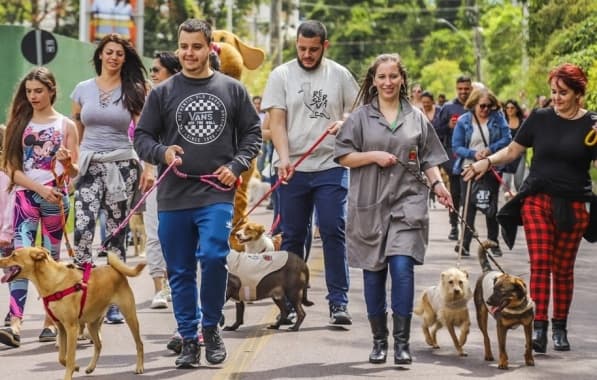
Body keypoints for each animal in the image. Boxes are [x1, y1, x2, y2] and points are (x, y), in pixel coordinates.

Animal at [0, 248, 146, 378]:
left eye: (14, 255)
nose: (0, 260)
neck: (53, 281)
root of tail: (114, 269)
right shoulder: (61, 328)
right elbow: (61, 357)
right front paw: (76, 367)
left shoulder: (71, 328)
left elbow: (69, 357)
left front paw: (69, 373)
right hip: (92, 324)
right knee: (99, 345)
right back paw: (91, 367)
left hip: (130, 316)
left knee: (139, 344)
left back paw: (139, 367)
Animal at [474, 242, 536, 370]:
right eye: (493, 289)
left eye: (502, 292)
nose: (488, 301)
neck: (515, 308)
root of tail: (488, 270)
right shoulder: (501, 327)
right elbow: (502, 346)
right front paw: (503, 362)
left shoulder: (528, 325)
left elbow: (529, 343)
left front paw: (529, 359)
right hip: (481, 316)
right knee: (486, 337)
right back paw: (488, 354)